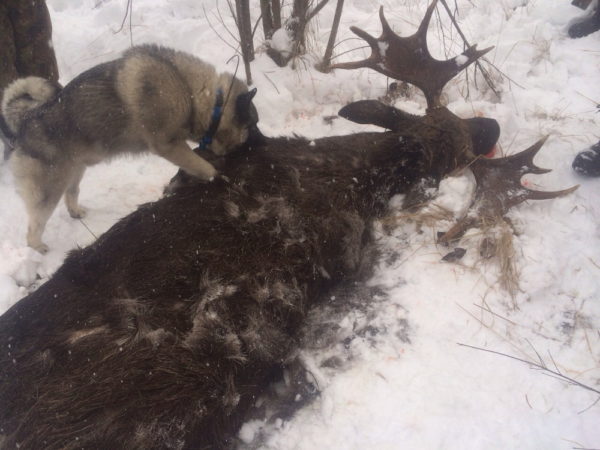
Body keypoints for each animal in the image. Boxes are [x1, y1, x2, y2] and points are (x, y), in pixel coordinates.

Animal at [2, 44, 260, 253]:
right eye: (252, 125)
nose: (261, 142)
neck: (194, 93)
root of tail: (28, 119)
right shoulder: (169, 145)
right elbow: (204, 167)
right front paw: (221, 178)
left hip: (74, 171)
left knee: (71, 193)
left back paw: (75, 212)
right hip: (49, 187)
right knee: (35, 223)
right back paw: (37, 247)